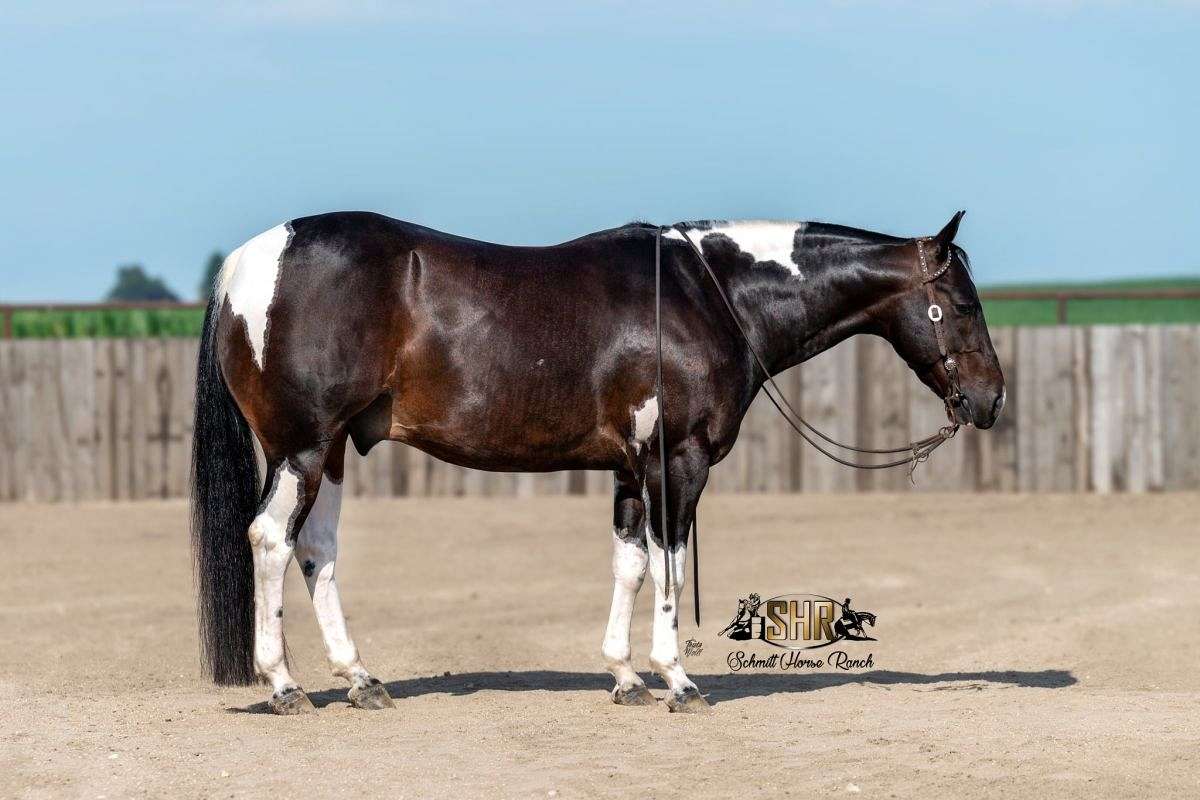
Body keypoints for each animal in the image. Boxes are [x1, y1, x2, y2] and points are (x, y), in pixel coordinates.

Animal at [191, 210, 1005, 715]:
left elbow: (630, 565)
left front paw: (624, 676)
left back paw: (360, 679)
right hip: (301, 446)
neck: (709, 295)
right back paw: (285, 686)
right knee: (271, 540)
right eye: (964, 304)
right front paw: (677, 680)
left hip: (330, 450)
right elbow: (670, 567)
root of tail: (247, 265)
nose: (991, 399)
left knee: (318, 550)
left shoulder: (629, 470)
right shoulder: (679, 463)